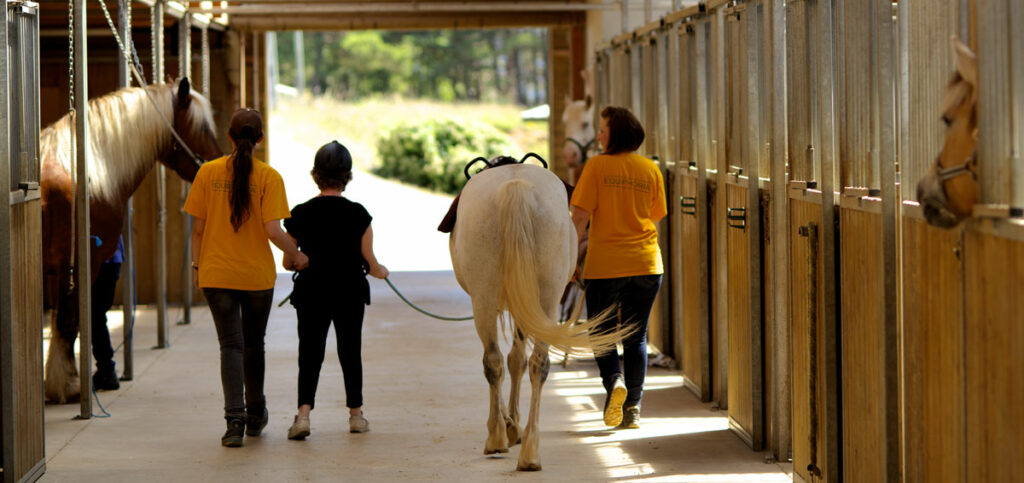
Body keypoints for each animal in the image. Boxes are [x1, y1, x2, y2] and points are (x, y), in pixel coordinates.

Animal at [43, 78, 223, 403]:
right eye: (203, 128)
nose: (218, 164)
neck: (87, 173)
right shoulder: (77, 265)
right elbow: (70, 320)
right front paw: (68, 384)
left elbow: (65, 320)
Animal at [448, 160, 622, 470]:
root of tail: (516, 186)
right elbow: (518, 360)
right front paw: (514, 425)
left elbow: (511, 361)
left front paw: (509, 425)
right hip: (547, 298)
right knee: (538, 364)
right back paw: (530, 451)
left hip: (484, 298)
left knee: (492, 360)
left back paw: (496, 437)